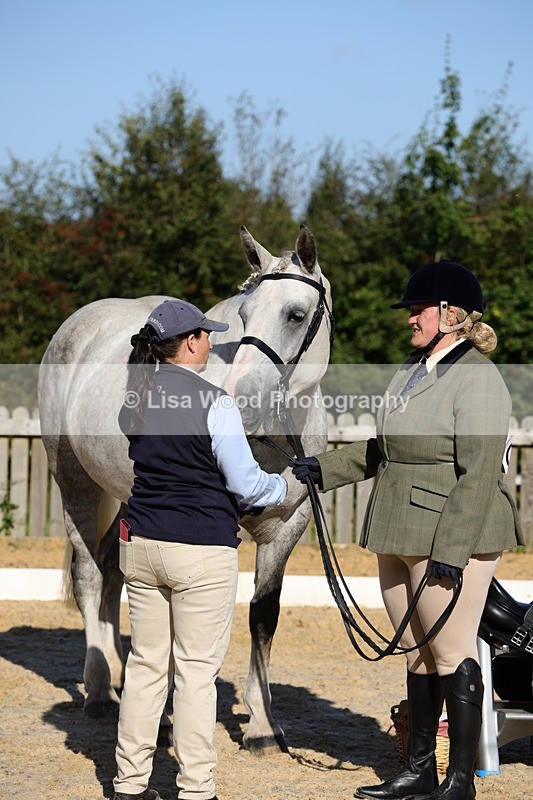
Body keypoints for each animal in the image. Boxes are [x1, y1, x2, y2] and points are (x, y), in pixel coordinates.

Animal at [38, 224, 333, 753]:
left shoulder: (288, 526)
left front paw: (262, 725)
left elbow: (263, 614)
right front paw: (175, 718)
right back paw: (100, 691)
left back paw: (121, 677)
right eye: (243, 314)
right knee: (89, 574)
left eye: (295, 314)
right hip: (74, 482)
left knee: (113, 570)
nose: (240, 400)